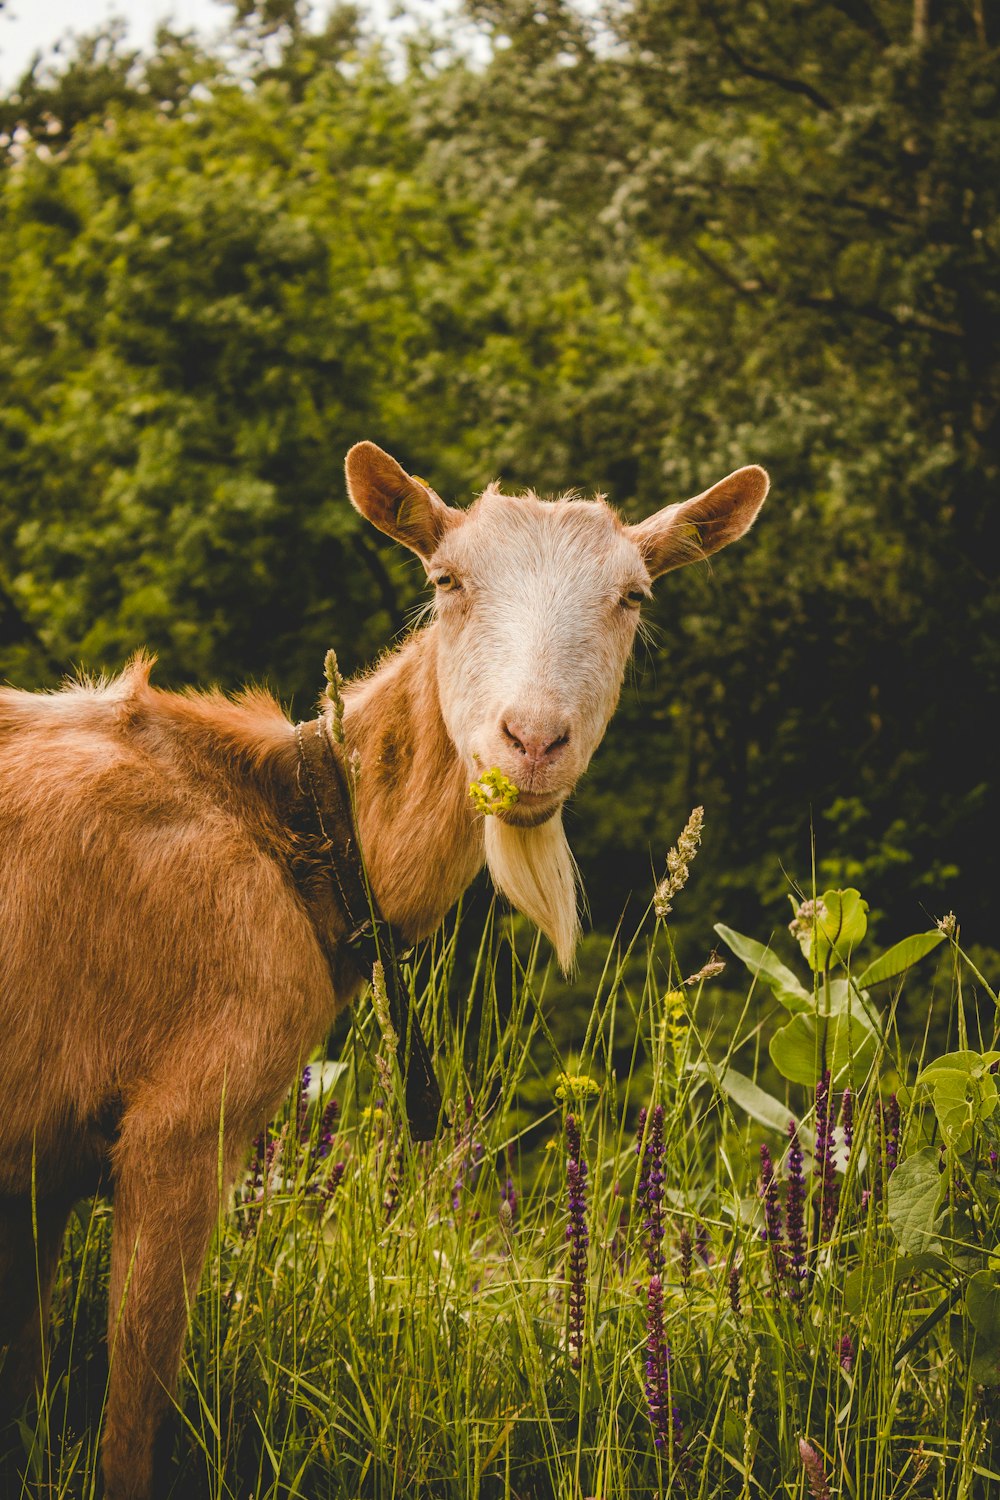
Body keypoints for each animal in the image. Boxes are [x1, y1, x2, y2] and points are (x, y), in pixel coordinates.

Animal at [0, 444, 773, 1500]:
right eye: (446, 580)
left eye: (633, 596)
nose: (531, 742)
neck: (296, 834)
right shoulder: (180, 1127)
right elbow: (128, 1428)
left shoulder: (40, 1183)